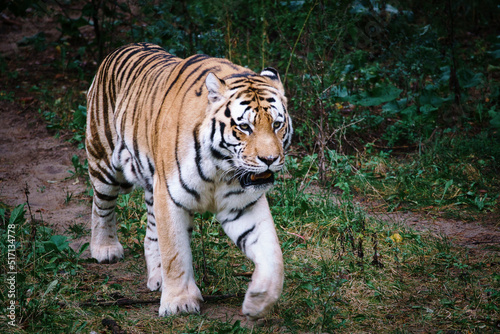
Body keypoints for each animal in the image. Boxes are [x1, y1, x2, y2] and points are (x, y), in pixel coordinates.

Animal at [84, 43, 292, 320]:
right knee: (102, 205)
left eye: (277, 124)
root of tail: (120, 48)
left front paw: (259, 300)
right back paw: (105, 249)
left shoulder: (242, 205)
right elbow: (175, 252)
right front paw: (179, 303)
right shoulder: (170, 197)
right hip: (104, 160)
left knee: (151, 232)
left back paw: (157, 276)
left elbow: (272, 253)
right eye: (245, 127)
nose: (269, 159)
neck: (221, 167)